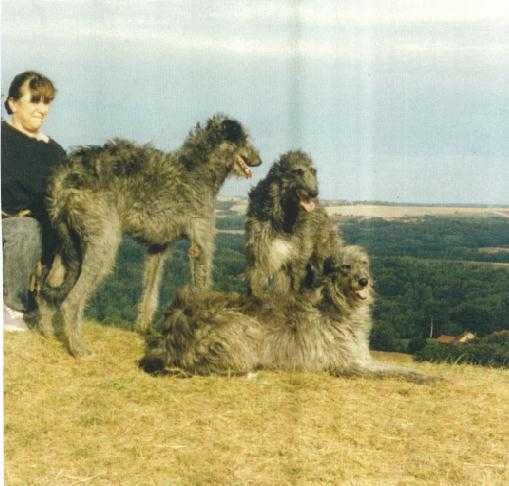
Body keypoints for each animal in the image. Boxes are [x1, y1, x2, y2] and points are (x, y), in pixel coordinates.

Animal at [40, 115, 262, 356]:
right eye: (244, 139)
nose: (259, 160)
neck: (199, 168)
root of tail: (66, 174)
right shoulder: (201, 244)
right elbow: (202, 287)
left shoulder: (158, 247)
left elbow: (150, 289)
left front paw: (144, 328)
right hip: (104, 243)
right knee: (71, 301)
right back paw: (78, 348)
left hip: (68, 242)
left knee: (49, 286)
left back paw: (47, 332)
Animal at [140, 245, 436, 382]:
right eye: (345, 266)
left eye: (364, 263)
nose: (363, 281)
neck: (335, 305)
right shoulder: (347, 364)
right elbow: (396, 372)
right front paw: (428, 377)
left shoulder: (363, 357)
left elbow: (396, 367)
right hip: (245, 328)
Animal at [245, 150, 342, 298]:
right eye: (298, 171)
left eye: (313, 171)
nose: (315, 193)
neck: (284, 215)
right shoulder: (260, 252)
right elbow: (257, 282)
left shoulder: (297, 260)